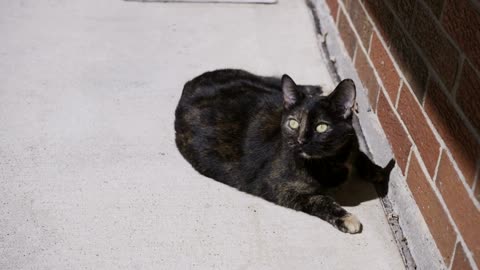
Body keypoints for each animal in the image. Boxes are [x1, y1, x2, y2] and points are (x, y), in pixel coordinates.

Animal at [175, 68, 394, 233]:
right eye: (293, 123)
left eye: (321, 127)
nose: (300, 140)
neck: (333, 159)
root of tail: (189, 84)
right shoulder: (280, 188)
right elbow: (320, 200)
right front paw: (347, 218)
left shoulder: (351, 143)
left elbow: (358, 153)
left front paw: (375, 169)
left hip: (259, 81)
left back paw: (318, 88)